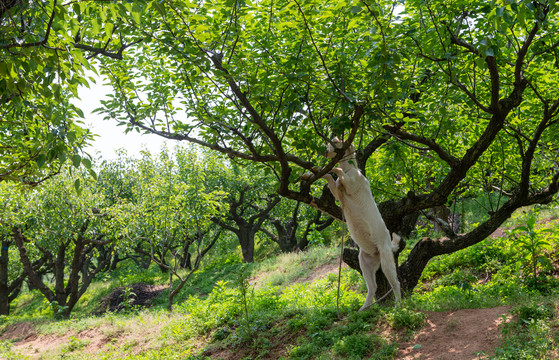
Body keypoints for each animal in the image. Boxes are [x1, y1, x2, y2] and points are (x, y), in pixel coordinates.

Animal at [322, 137, 400, 310]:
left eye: (334, 141)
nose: (324, 152)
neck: (351, 169)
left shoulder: (351, 184)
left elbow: (338, 169)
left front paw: (332, 168)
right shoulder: (337, 192)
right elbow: (330, 178)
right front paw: (316, 172)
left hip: (386, 261)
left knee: (396, 283)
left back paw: (399, 306)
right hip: (364, 263)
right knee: (373, 287)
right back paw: (363, 308)